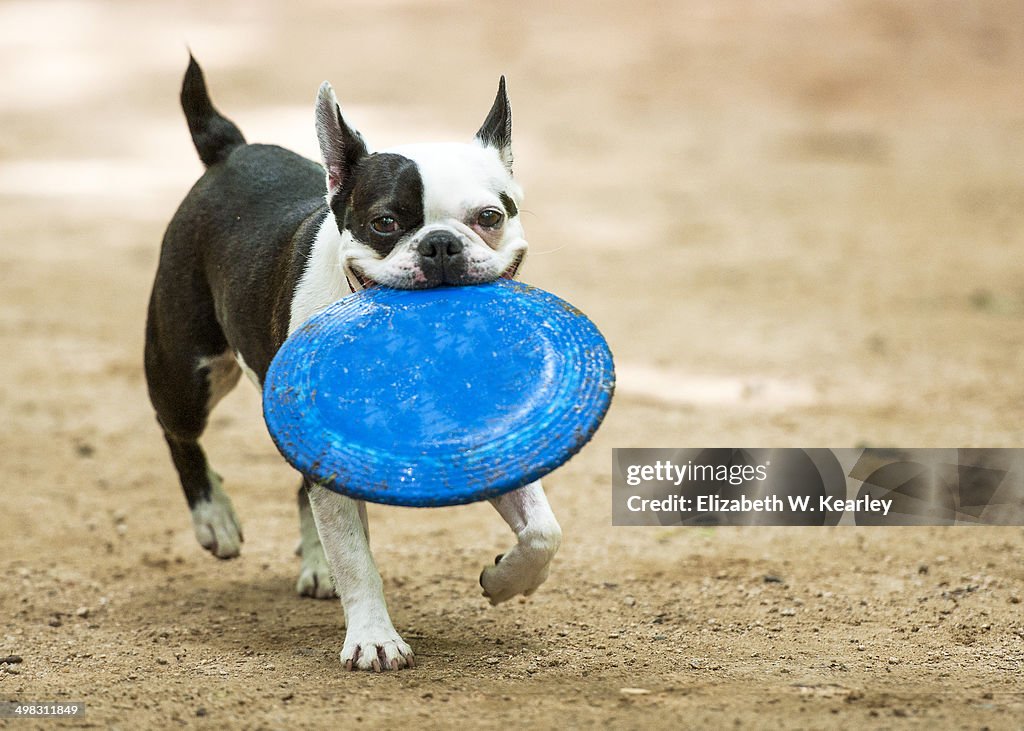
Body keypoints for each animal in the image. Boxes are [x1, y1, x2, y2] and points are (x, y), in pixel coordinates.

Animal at [145, 59, 565, 667]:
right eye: (384, 223)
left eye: (489, 216)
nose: (440, 243)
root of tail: (230, 149)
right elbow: (356, 558)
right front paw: (374, 638)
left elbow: (542, 531)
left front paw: (507, 580)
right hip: (188, 371)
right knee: (178, 432)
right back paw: (214, 517)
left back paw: (314, 564)